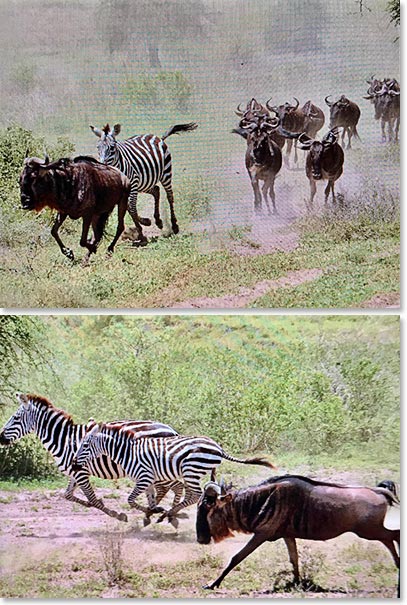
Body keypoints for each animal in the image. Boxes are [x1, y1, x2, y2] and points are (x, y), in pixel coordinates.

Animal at [0, 394, 183, 520]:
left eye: (15, 418)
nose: (0, 438)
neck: (63, 440)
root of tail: (171, 429)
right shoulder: (74, 471)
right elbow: (68, 495)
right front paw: (90, 504)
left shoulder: (80, 472)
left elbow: (92, 498)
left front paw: (117, 515)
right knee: (171, 488)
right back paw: (158, 511)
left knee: (174, 487)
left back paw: (161, 511)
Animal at [73, 422, 278, 528]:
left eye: (85, 445)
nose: (74, 464)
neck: (127, 454)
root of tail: (218, 448)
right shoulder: (147, 479)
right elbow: (151, 498)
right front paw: (152, 512)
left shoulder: (144, 477)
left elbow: (131, 500)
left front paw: (155, 512)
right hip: (198, 472)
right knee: (211, 492)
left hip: (191, 470)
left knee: (195, 495)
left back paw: (171, 513)